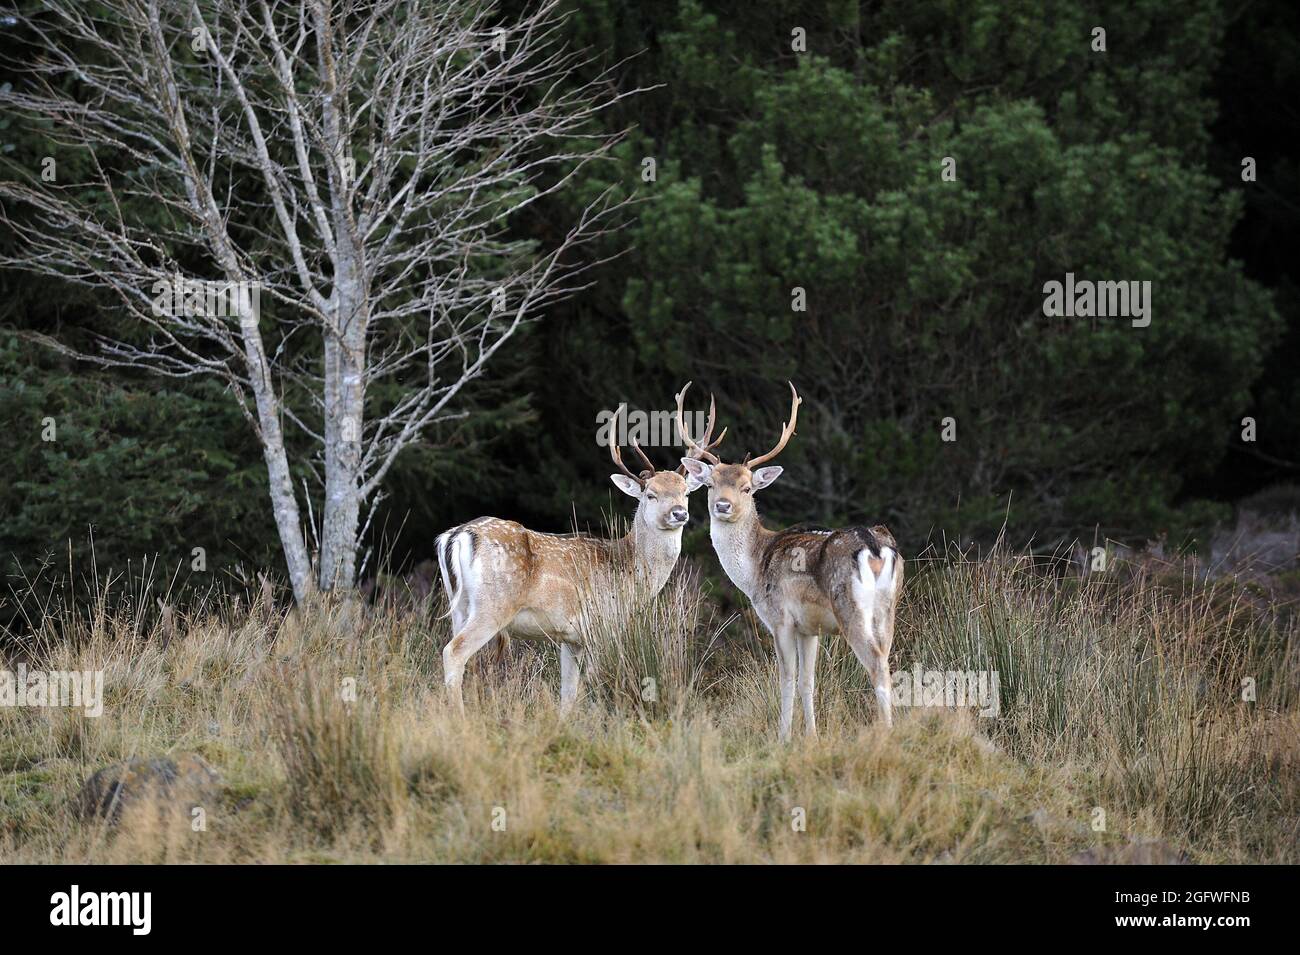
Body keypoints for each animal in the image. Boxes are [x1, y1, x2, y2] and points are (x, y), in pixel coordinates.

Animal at [436, 399, 725, 714]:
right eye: (650, 494)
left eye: (685, 493)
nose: (679, 513)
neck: (630, 571)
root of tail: (456, 535)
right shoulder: (602, 625)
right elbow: (591, 683)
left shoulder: (570, 637)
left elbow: (568, 692)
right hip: (493, 606)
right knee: (454, 651)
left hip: (459, 607)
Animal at [676, 382, 903, 740]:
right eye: (711, 484)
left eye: (747, 488)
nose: (723, 506)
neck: (753, 569)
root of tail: (874, 546)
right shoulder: (809, 629)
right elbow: (808, 681)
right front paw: (811, 736)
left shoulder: (780, 618)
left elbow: (786, 679)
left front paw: (783, 737)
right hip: (888, 609)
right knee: (887, 658)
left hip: (851, 609)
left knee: (877, 665)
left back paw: (885, 734)